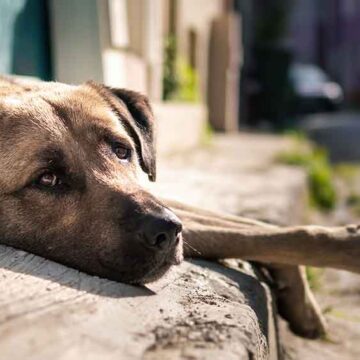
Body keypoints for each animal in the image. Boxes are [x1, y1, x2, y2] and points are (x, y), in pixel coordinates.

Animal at [0, 74, 358, 338]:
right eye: (48, 179)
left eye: (122, 150)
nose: (168, 230)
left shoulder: (164, 199)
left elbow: (257, 228)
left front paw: (302, 298)